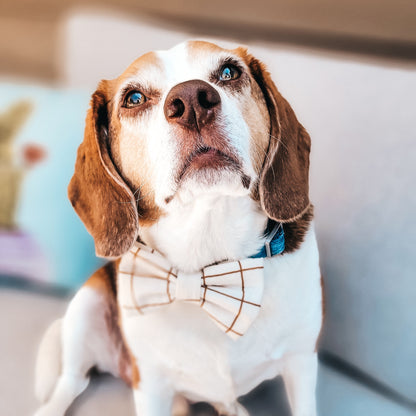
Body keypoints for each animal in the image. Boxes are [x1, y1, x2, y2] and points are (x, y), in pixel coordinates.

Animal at [34, 39, 324, 416]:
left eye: (229, 72)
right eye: (134, 98)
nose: (191, 100)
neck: (208, 263)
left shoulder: (301, 361)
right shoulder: (151, 387)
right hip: (88, 304)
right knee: (72, 381)